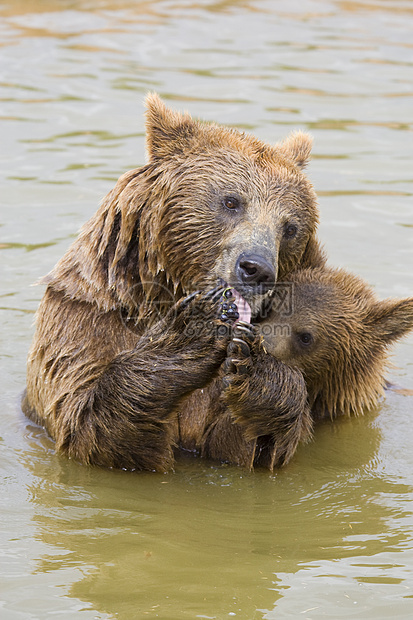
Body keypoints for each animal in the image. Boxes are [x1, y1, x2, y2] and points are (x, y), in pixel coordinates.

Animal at [23, 94, 326, 470]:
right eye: (231, 201)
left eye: (290, 227)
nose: (256, 269)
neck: (160, 297)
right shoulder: (82, 319)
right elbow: (86, 423)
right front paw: (191, 331)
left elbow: (241, 443)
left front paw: (258, 371)